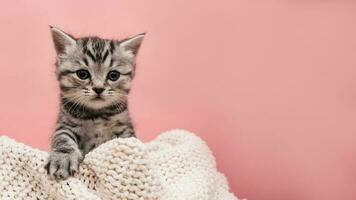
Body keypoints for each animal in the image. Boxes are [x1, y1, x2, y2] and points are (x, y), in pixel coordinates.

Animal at [44, 25, 145, 180]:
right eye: (82, 74)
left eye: (113, 75)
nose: (98, 89)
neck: (97, 115)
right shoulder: (65, 123)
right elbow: (62, 138)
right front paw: (62, 158)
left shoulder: (125, 128)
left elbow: (127, 143)